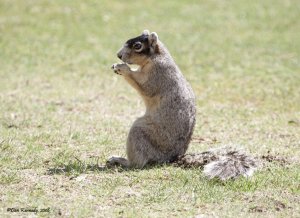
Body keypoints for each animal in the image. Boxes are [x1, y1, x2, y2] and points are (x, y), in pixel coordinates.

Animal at [108, 30, 258, 181]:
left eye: (138, 46)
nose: (119, 55)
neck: (155, 57)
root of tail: (172, 158)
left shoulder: (159, 74)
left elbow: (145, 87)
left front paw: (122, 68)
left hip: (142, 133)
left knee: (139, 162)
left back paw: (122, 161)